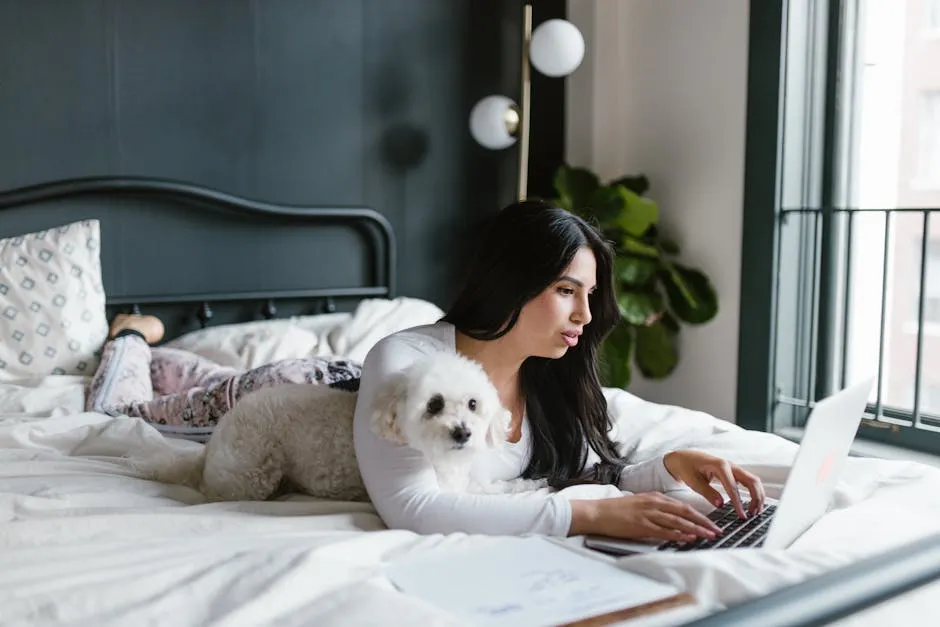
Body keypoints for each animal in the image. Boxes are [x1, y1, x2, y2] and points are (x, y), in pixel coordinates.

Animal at [144, 354, 548, 506]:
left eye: (473, 404)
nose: (462, 432)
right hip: (252, 470)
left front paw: (530, 483)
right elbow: (490, 492)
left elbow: (493, 485)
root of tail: (213, 443)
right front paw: (530, 489)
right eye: (434, 404)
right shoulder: (445, 490)